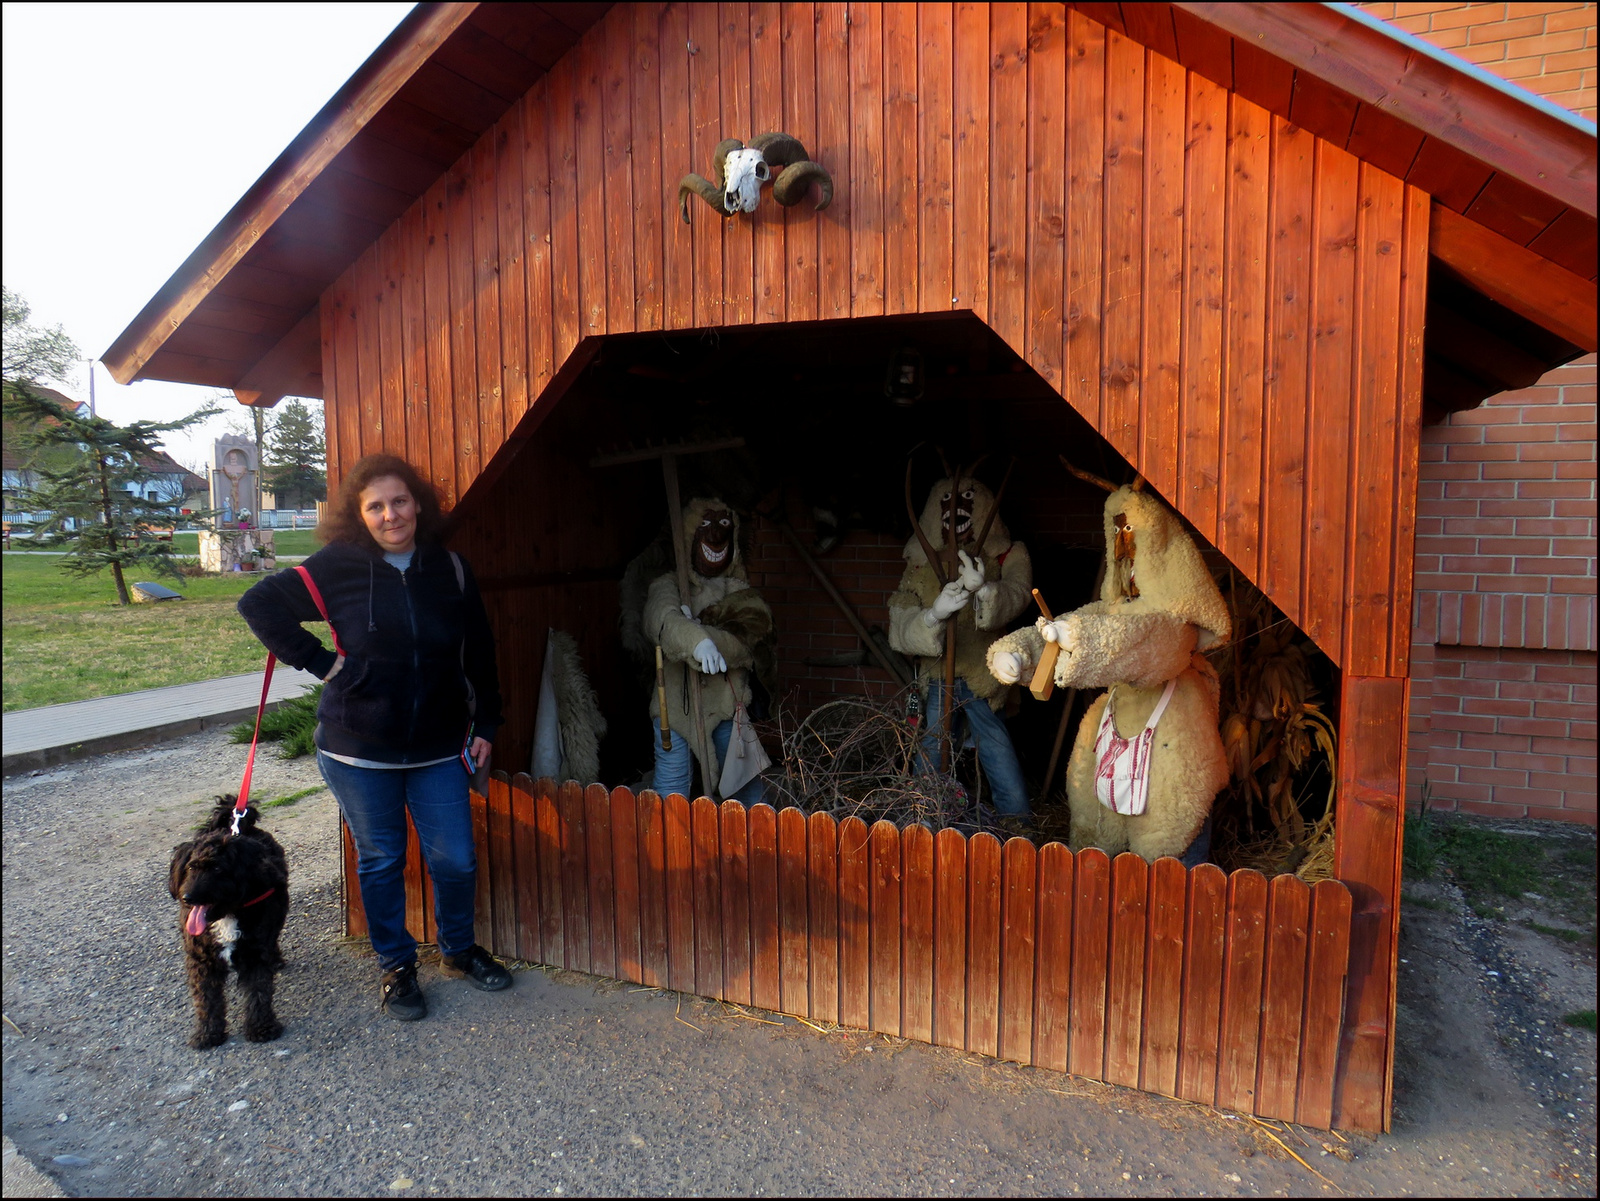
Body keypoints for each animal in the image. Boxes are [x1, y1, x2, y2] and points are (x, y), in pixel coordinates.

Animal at [170, 802, 292, 1049]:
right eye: (191, 868)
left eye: (217, 869)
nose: (188, 898)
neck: (227, 913)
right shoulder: (201, 961)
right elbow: (206, 999)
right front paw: (207, 1033)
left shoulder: (255, 955)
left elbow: (258, 993)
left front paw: (261, 1028)